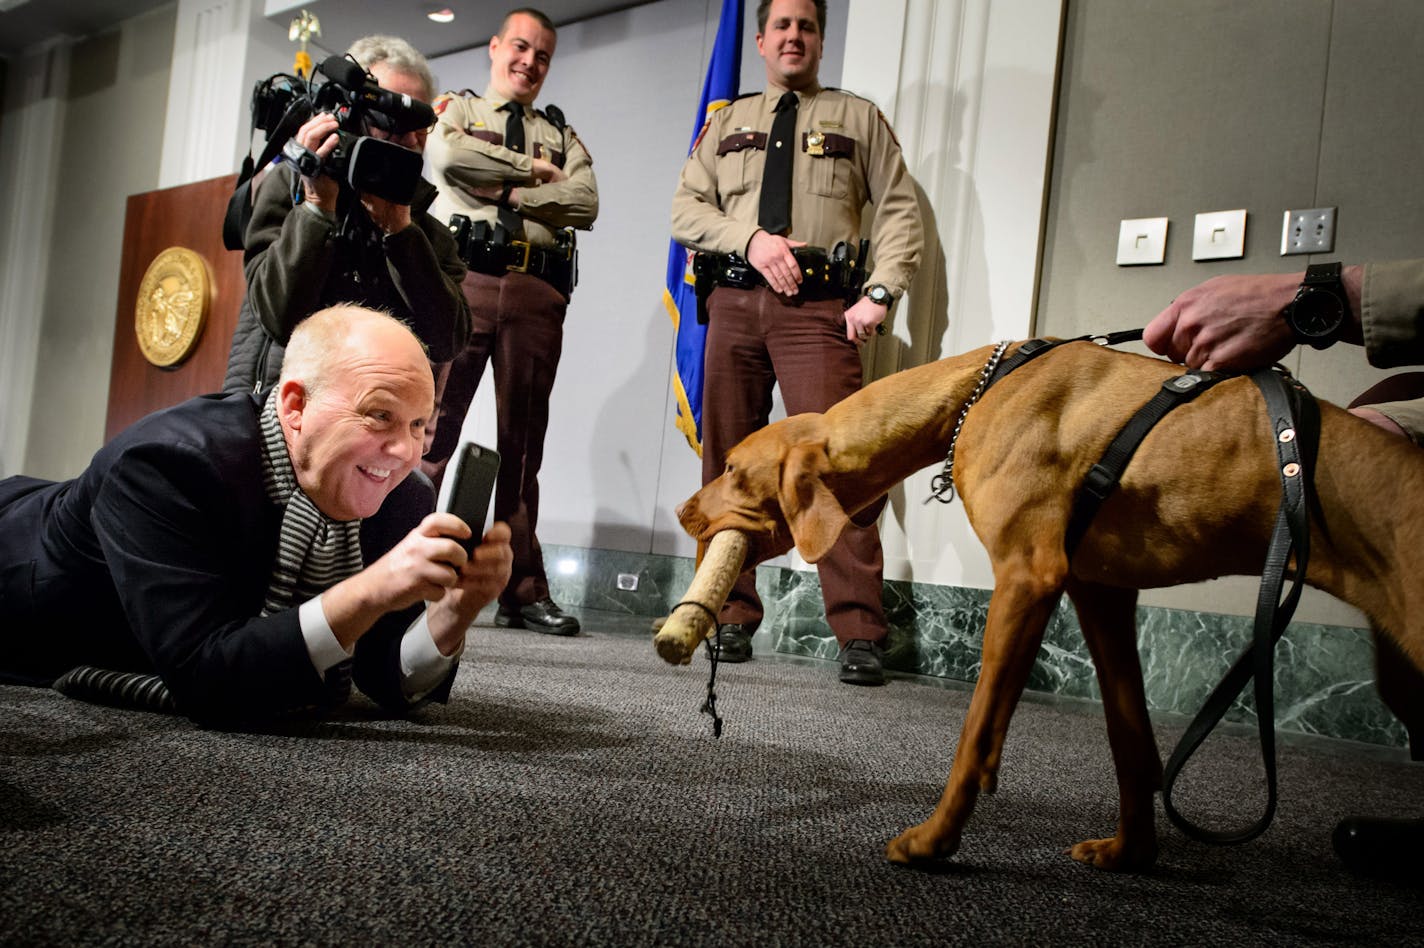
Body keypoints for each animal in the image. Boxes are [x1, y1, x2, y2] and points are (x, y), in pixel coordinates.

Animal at [669, 340, 1424, 871]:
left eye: (731, 467)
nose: (679, 512)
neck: (974, 392)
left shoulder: (1026, 577)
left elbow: (976, 735)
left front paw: (934, 842)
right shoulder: (1103, 595)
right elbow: (1129, 737)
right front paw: (1131, 854)